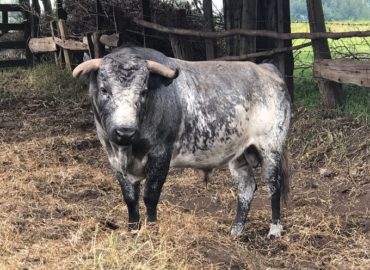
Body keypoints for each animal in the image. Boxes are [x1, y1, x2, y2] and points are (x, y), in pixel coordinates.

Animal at [73, 47, 292, 237]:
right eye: (104, 89)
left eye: (143, 91)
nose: (125, 131)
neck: (128, 148)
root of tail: (265, 69)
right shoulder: (114, 159)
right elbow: (130, 198)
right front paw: (133, 230)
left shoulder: (161, 155)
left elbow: (150, 195)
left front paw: (152, 230)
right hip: (239, 153)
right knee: (246, 187)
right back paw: (236, 231)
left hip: (270, 147)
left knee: (273, 184)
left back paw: (274, 230)